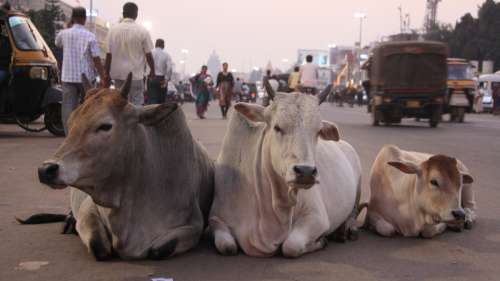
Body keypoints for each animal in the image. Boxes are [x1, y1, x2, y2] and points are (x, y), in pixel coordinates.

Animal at [209, 88, 362, 258]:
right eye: (277, 127)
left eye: (318, 132)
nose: (306, 172)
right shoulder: (216, 218)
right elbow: (227, 247)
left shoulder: (317, 217)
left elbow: (291, 246)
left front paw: (321, 241)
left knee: (353, 212)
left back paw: (346, 229)